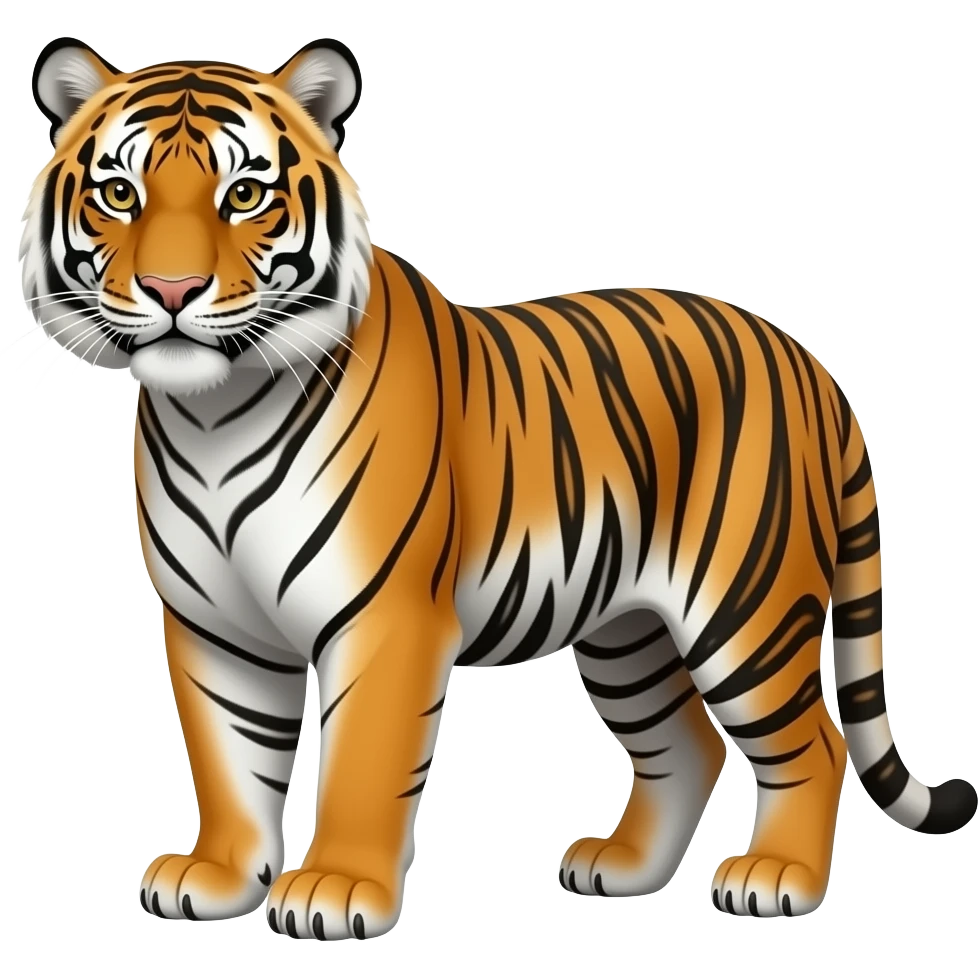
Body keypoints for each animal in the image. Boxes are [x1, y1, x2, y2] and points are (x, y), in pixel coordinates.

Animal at [17, 35, 976, 941]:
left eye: (245, 195)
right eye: (119, 194)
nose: (171, 289)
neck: (214, 415)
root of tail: (808, 361)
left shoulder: (385, 617)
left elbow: (362, 761)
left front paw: (335, 890)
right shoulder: (214, 625)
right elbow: (228, 756)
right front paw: (216, 875)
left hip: (746, 609)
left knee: (813, 743)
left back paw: (777, 879)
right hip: (627, 632)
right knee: (686, 743)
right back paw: (621, 867)